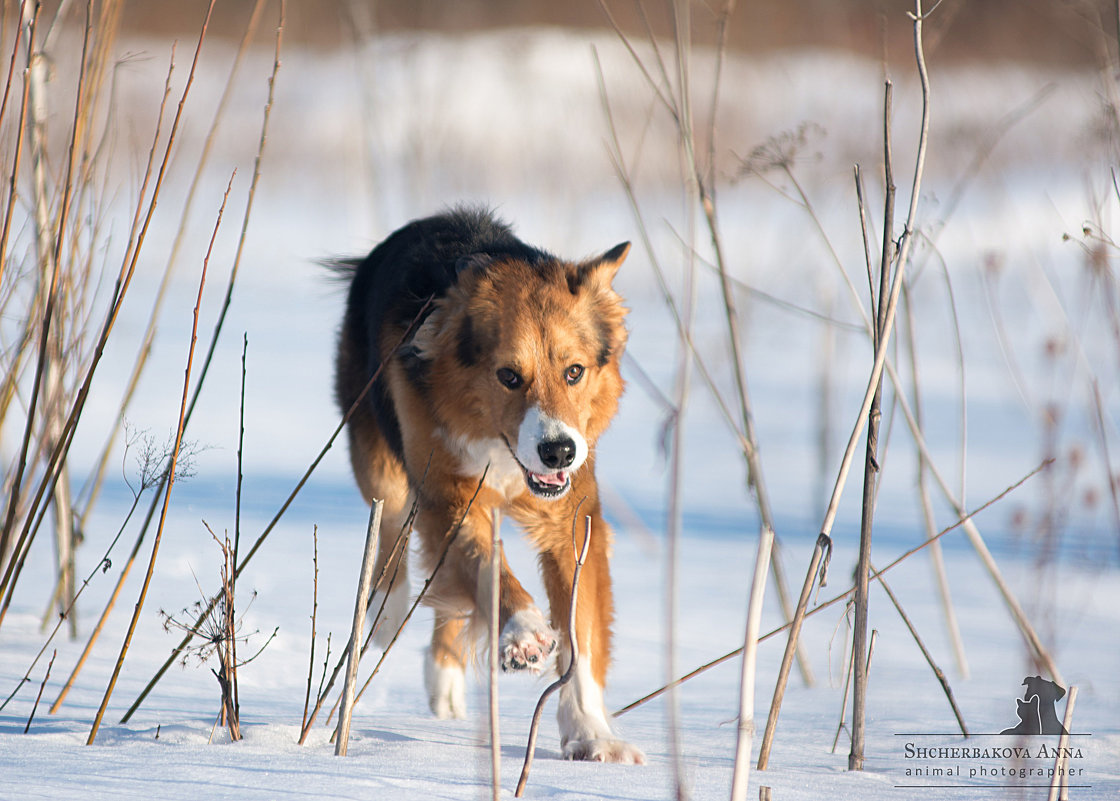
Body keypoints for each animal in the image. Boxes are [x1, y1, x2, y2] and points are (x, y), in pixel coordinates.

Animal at [331, 207, 645, 766]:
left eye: (574, 371)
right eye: (509, 376)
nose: (558, 451)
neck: (500, 448)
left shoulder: (573, 517)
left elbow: (580, 633)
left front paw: (591, 733)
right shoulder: (447, 495)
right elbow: (485, 567)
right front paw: (523, 634)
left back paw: (446, 678)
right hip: (377, 453)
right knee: (392, 529)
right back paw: (386, 610)